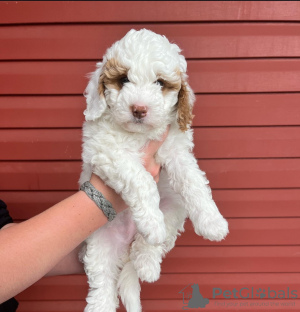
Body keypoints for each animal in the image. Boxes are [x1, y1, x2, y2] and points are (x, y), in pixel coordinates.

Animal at [79, 28, 227, 310]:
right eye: (123, 79)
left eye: (159, 83)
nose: (139, 109)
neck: (139, 135)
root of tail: (125, 246)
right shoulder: (106, 150)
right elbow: (142, 179)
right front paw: (150, 220)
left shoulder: (176, 149)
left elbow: (193, 181)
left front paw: (213, 222)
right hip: (101, 243)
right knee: (102, 285)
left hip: (174, 209)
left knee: (153, 242)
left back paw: (147, 263)